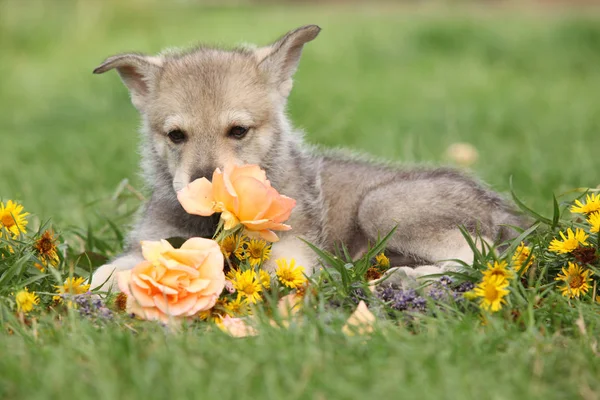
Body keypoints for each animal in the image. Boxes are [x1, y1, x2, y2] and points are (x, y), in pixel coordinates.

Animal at [90, 25, 524, 290]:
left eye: (239, 131)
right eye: (176, 135)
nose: (203, 189)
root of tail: (506, 210)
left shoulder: (292, 252)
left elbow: (268, 272)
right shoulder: (149, 242)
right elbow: (105, 269)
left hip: (383, 205)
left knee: (481, 255)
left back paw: (401, 278)